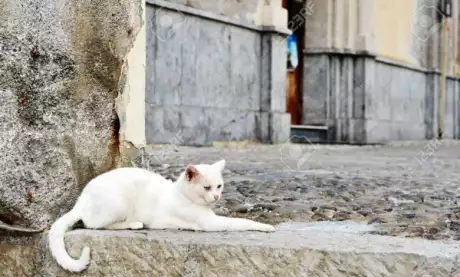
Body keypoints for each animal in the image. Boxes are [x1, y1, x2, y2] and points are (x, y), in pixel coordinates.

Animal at [48, 158, 274, 270]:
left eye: (219, 186)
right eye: (207, 188)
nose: (217, 197)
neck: (180, 193)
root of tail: (81, 200)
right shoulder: (212, 223)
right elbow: (241, 221)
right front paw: (267, 227)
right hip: (119, 202)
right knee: (94, 224)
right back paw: (134, 223)